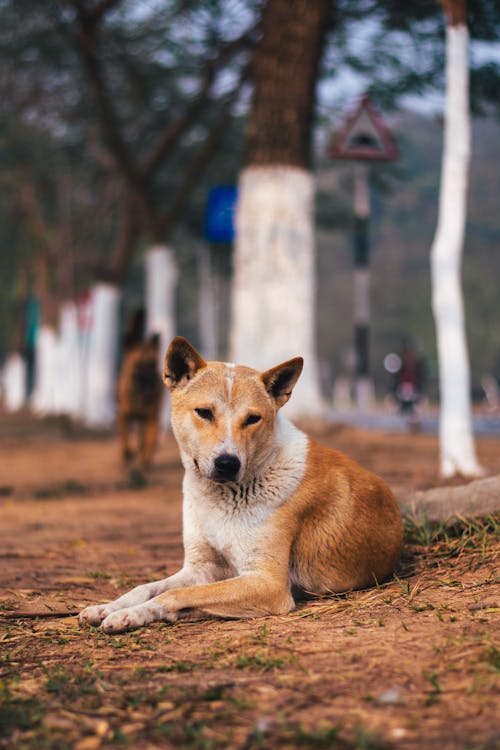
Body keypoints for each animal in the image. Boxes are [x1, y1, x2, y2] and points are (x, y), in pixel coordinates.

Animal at [81, 338, 402, 632]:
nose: (227, 463)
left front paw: (132, 614)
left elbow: (176, 594)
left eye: (252, 419)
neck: (223, 497)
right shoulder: (201, 568)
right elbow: (146, 587)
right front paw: (109, 606)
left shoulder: (267, 583)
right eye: (204, 412)